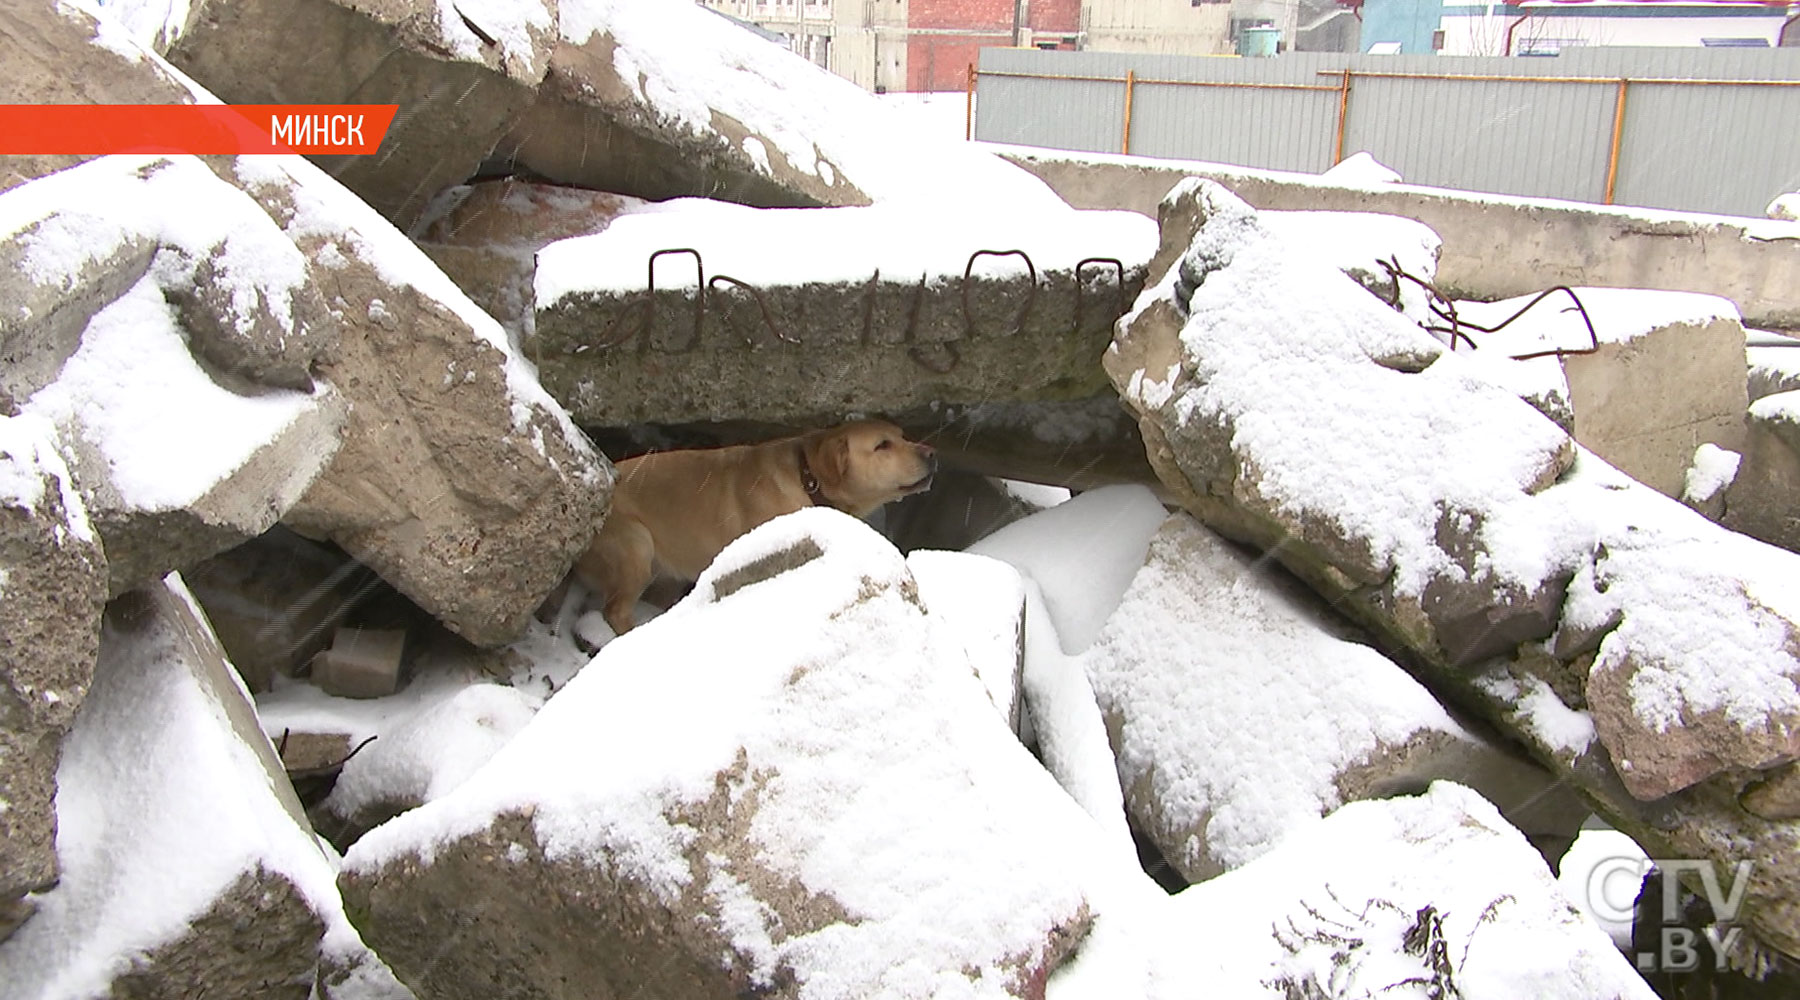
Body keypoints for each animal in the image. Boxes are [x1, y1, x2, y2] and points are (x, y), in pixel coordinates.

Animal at [576, 422, 943, 633]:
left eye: (903, 437)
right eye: (882, 446)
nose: (932, 453)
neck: (809, 480)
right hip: (636, 546)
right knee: (615, 610)